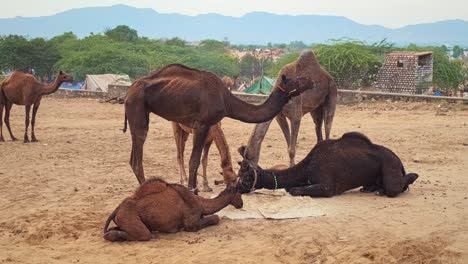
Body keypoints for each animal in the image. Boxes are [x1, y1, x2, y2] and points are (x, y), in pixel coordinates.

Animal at [122, 63, 312, 192]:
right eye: (296, 81)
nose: (309, 80)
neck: (226, 100)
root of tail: (129, 91)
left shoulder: (206, 127)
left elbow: (198, 159)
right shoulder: (202, 124)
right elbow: (194, 160)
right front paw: (193, 192)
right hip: (138, 109)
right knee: (138, 155)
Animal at [239, 132, 418, 198]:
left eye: (245, 178)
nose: (237, 189)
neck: (308, 166)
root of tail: (399, 161)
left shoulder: (327, 186)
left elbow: (294, 190)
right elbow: (293, 187)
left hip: (391, 169)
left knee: (396, 187)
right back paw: (373, 189)